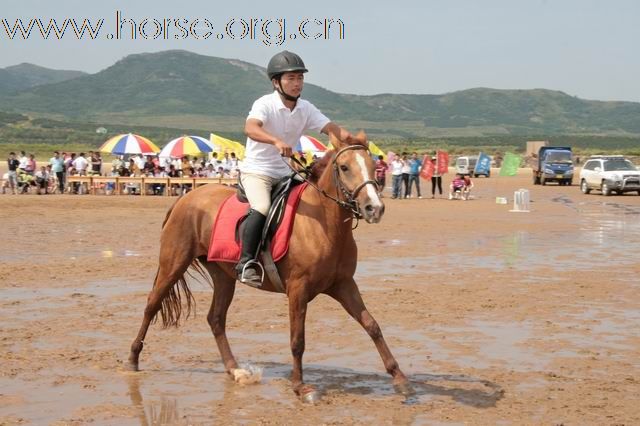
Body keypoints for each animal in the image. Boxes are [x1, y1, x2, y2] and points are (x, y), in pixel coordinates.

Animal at [127, 132, 412, 402]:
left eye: (373, 165)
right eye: (344, 167)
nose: (374, 208)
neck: (323, 224)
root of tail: (187, 197)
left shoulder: (343, 285)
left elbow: (372, 325)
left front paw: (399, 377)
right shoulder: (298, 290)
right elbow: (297, 340)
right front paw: (300, 387)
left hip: (223, 275)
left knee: (216, 319)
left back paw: (235, 370)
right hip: (173, 264)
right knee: (152, 305)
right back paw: (132, 359)